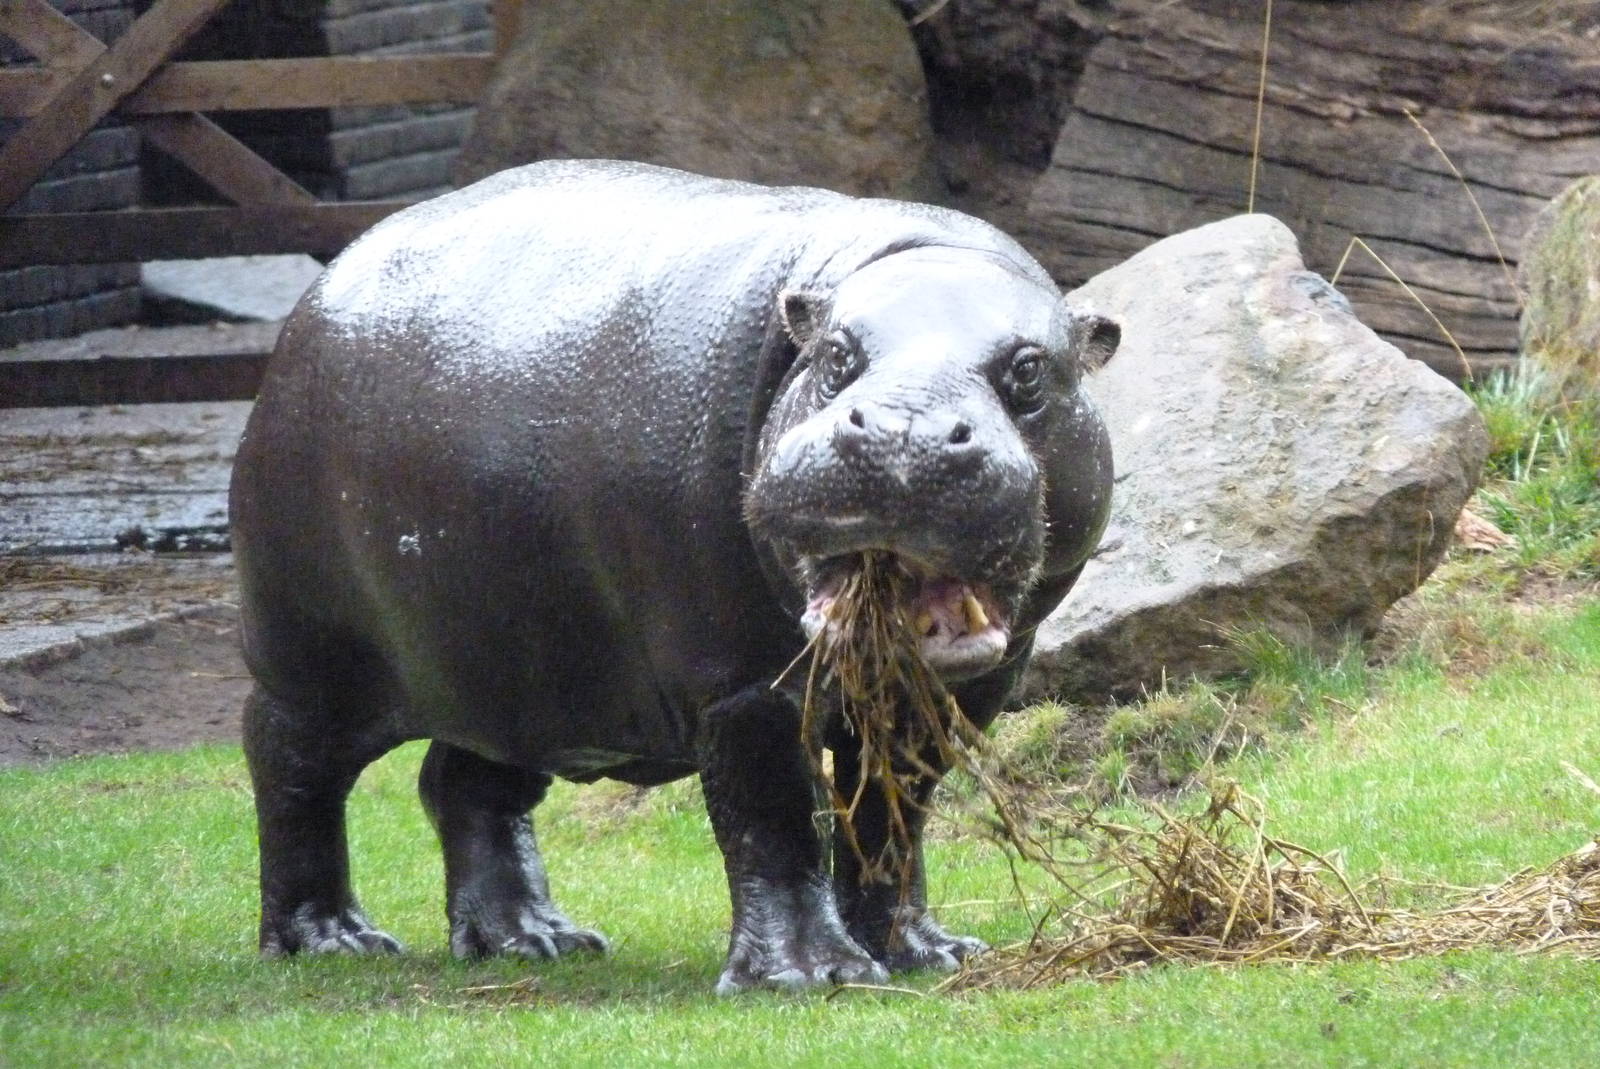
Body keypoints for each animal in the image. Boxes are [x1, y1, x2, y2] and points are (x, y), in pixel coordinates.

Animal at [230, 159, 1118, 993]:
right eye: (836, 354)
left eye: (1030, 368)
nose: (904, 430)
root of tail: (326, 283)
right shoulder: (744, 685)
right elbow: (776, 818)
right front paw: (812, 975)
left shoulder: (951, 696)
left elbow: (891, 820)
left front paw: (925, 955)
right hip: (313, 658)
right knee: (290, 771)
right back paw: (330, 940)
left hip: (524, 667)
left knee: (466, 782)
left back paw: (534, 940)